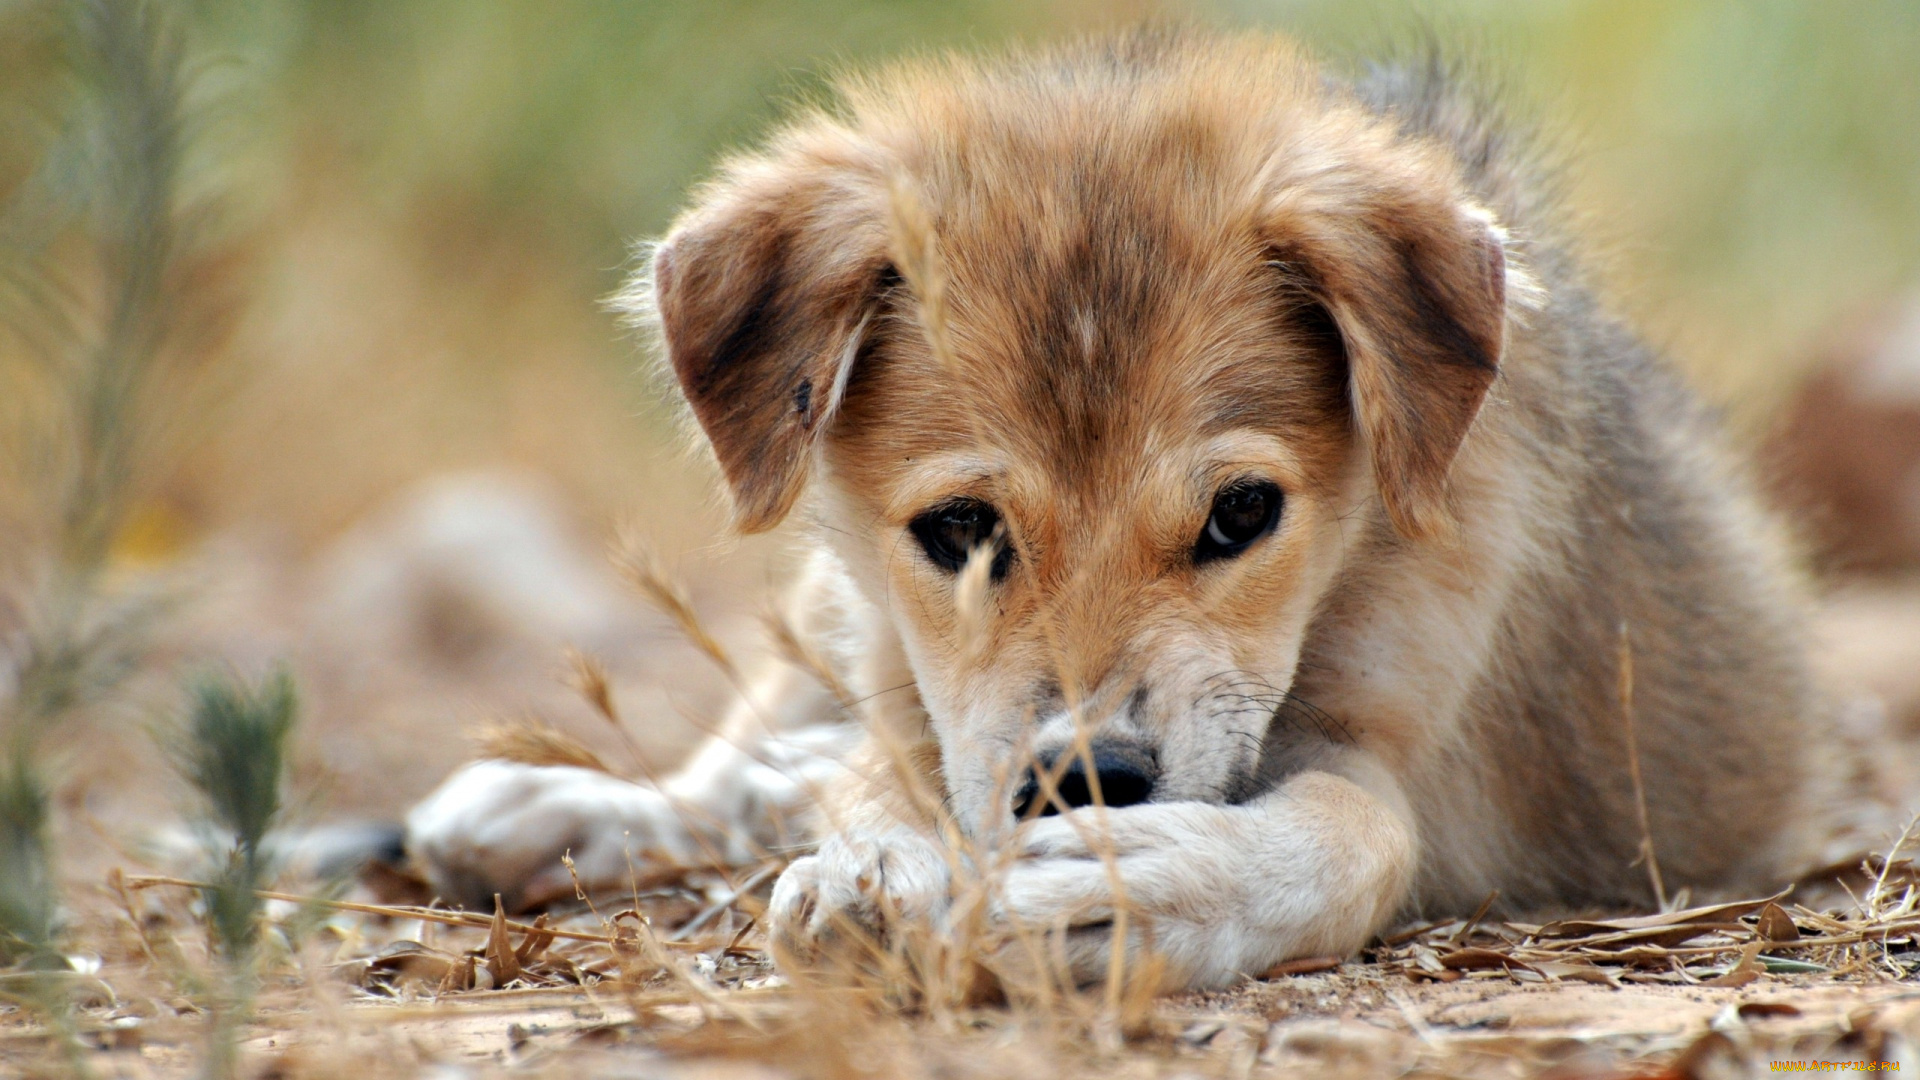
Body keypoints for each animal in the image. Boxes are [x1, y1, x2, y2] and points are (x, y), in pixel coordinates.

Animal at [405, 29, 1889, 991]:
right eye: (959, 531)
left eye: (1241, 515)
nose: (1089, 782)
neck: (1349, 566)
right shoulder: (907, 663)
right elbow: (887, 768)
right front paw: (876, 866)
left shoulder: (1397, 747)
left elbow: (1347, 835)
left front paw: (1134, 887)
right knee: (749, 755)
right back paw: (560, 804)